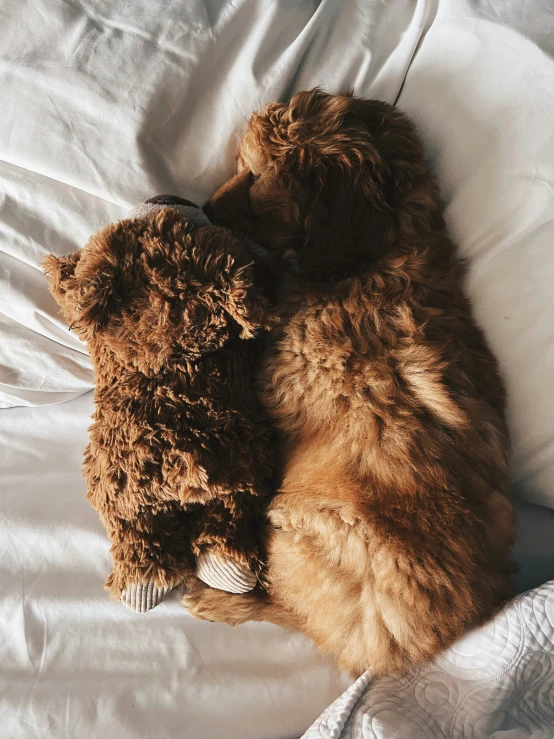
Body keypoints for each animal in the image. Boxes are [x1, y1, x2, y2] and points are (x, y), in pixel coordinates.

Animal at [184, 91, 512, 676]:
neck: (383, 255)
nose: (204, 207)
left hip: (300, 531)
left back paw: (217, 598)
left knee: (287, 607)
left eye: (257, 175)